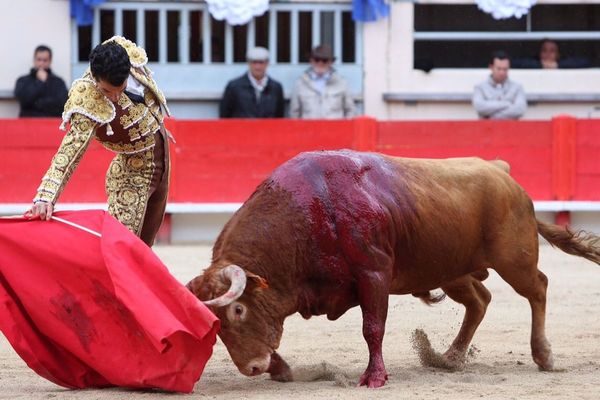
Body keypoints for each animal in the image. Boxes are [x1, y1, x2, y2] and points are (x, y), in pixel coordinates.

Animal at [186, 149, 600, 388]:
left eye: (239, 310)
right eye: (218, 323)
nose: (252, 368)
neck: (312, 210)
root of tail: (501, 172)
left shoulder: (374, 274)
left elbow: (373, 328)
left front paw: (374, 378)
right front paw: (281, 369)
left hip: (514, 258)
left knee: (538, 288)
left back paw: (543, 356)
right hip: (451, 270)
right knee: (480, 300)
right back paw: (451, 357)